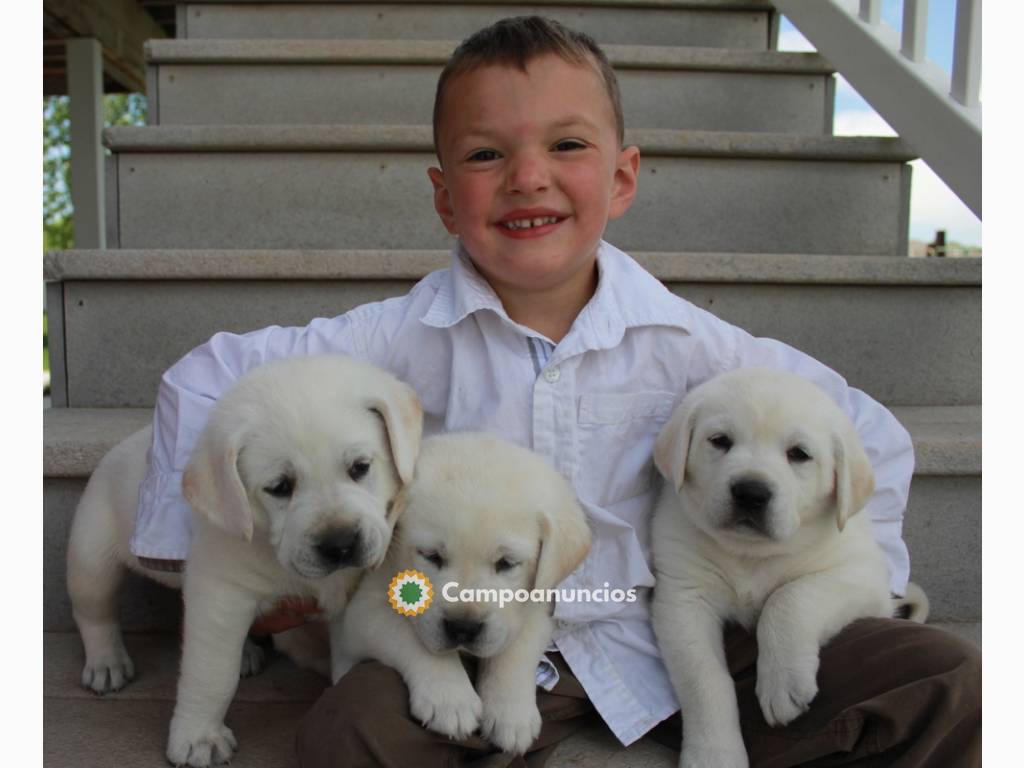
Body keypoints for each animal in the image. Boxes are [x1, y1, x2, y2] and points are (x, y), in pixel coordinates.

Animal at [62, 356, 419, 768]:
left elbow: (345, 650)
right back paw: (106, 664)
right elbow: (212, 672)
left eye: (360, 467)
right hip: (91, 557)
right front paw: (197, 737)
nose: (340, 545)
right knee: (95, 613)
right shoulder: (220, 591)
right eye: (280, 487)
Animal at [331, 436, 593, 753]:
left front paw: (511, 714)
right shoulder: (360, 613)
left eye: (506, 563)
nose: (463, 628)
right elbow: (411, 638)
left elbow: (516, 647)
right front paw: (450, 699)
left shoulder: (536, 601)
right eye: (431, 556)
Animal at [651, 370, 933, 765]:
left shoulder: (862, 575)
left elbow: (789, 596)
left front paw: (783, 682)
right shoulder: (683, 598)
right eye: (720, 441)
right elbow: (704, 678)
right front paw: (714, 754)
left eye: (798, 454)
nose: (751, 493)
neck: (751, 554)